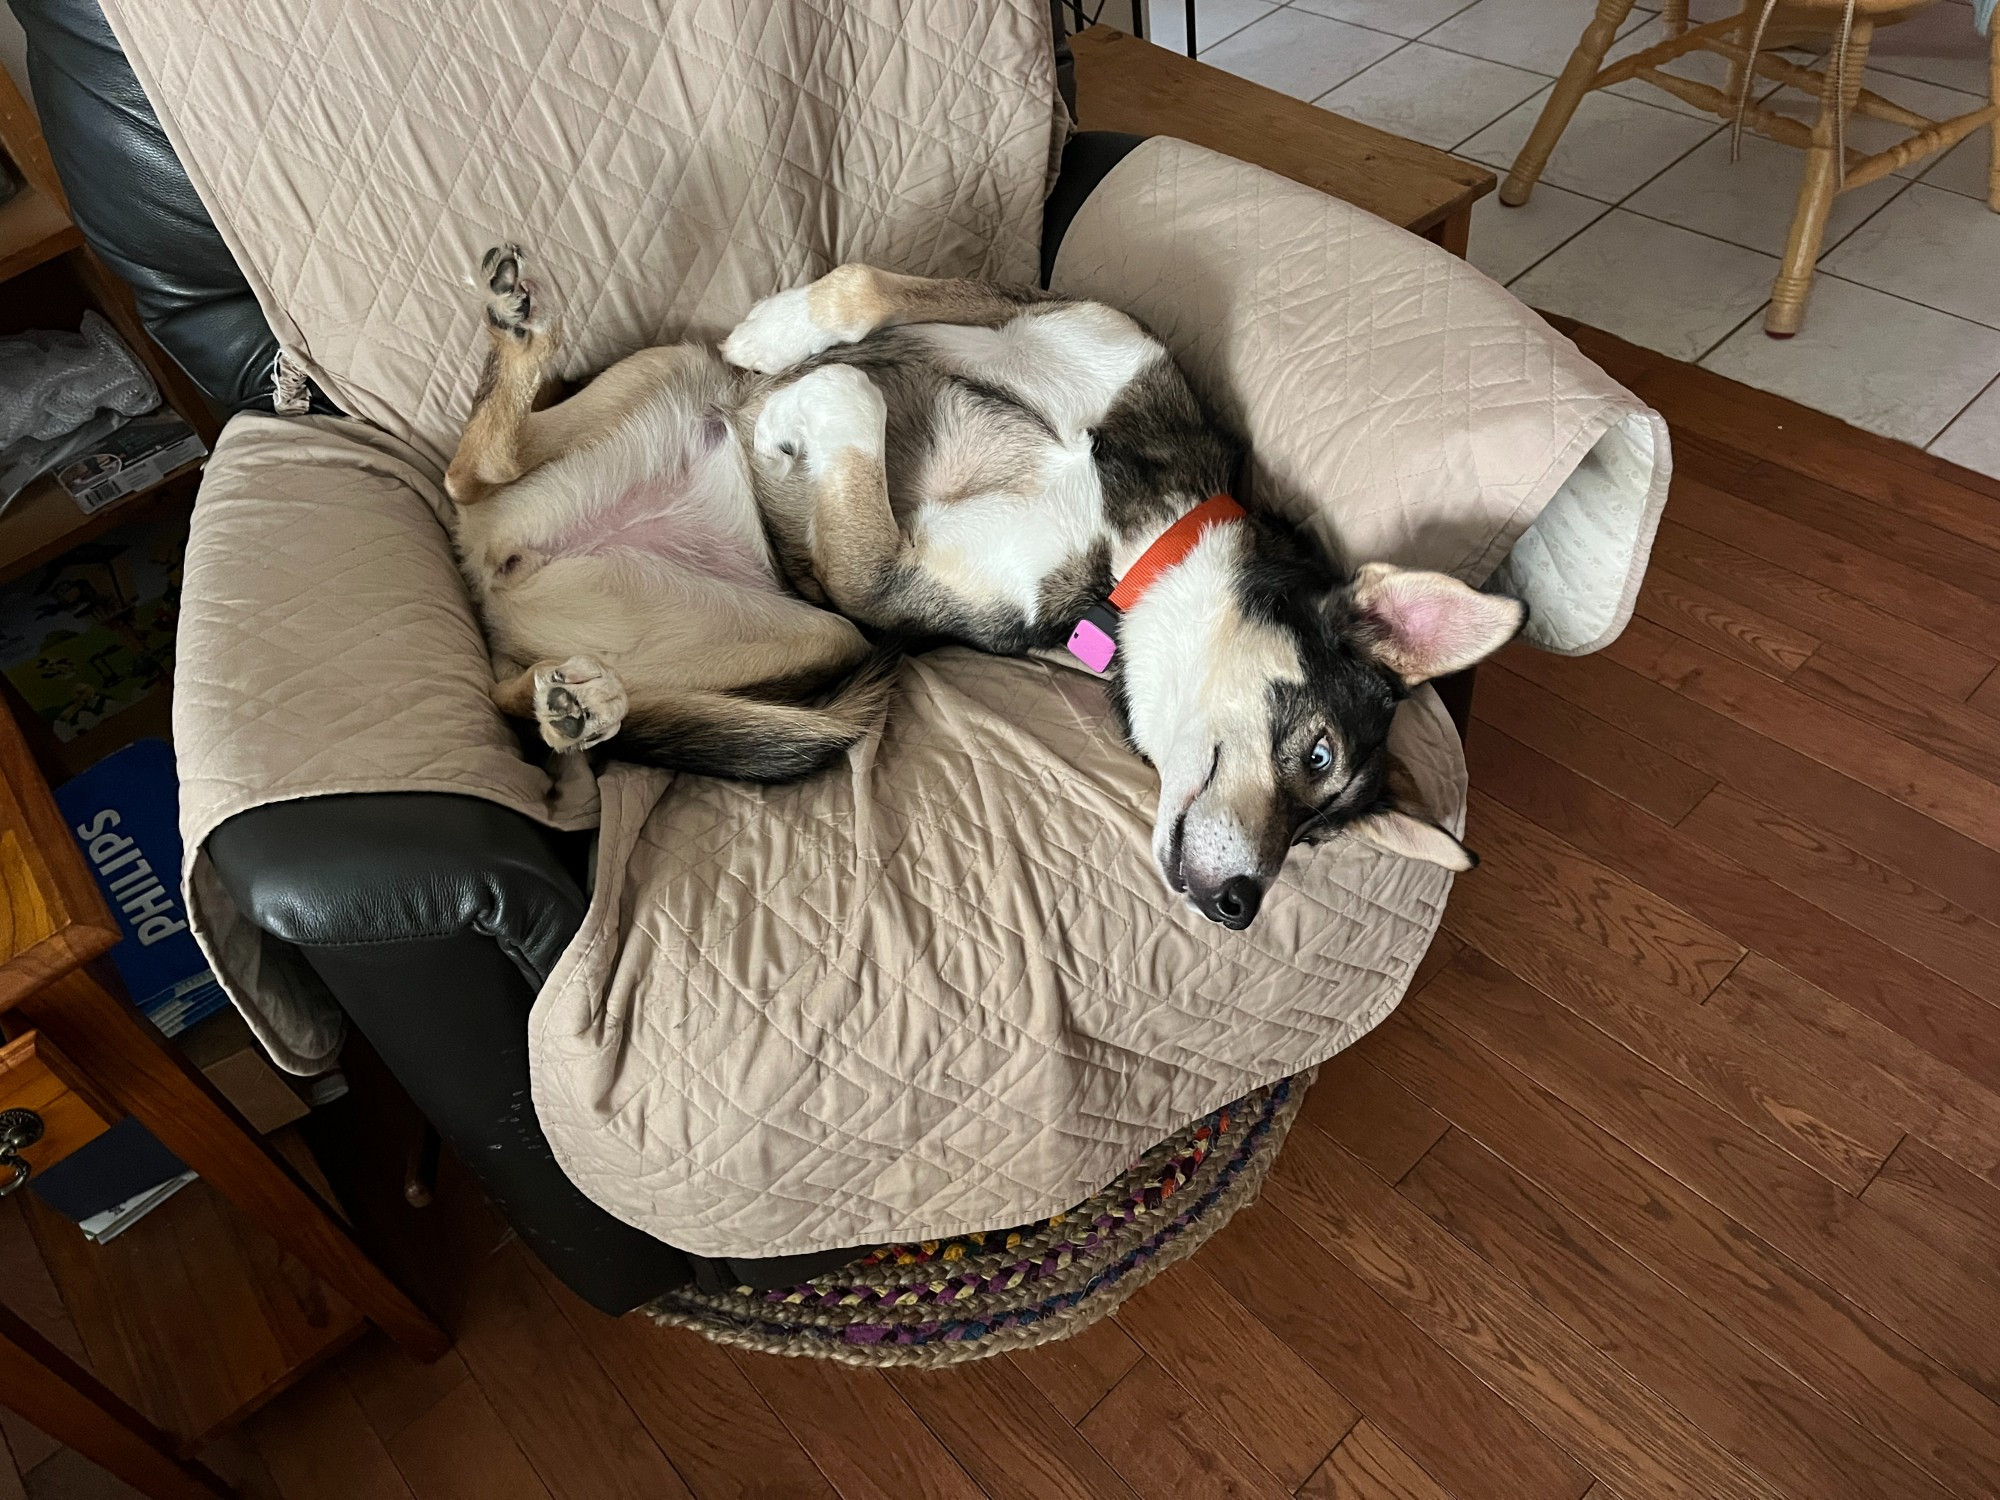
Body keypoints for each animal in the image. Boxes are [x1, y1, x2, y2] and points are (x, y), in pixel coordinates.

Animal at [446, 247, 1520, 928]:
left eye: (1317, 842)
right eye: (1317, 752)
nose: (1240, 907)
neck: (1130, 532)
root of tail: (497, 586)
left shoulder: (877, 587)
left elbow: (855, 398)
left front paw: (806, 402)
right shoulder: (1028, 309)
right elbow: (864, 294)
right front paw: (774, 343)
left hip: (825, 634)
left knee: (500, 639)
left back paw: (577, 703)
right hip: (670, 374)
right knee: (472, 476)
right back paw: (523, 336)